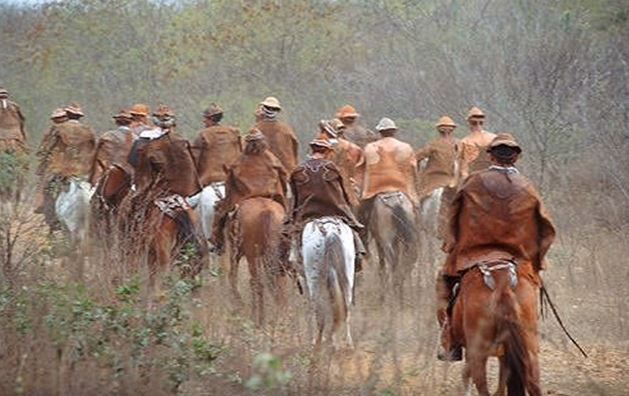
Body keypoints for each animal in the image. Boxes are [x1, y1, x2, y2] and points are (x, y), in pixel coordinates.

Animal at [228, 196, 288, 326]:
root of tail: (267, 212)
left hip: (252, 256)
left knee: (258, 283)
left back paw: (259, 319)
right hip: (276, 257)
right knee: (279, 285)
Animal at [300, 217, 354, 350]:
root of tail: (330, 231)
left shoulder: (304, 281)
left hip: (314, 282)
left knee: (319, 312)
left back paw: (318, 343)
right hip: (348, 277)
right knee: (347, 309)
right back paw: (348, 344)